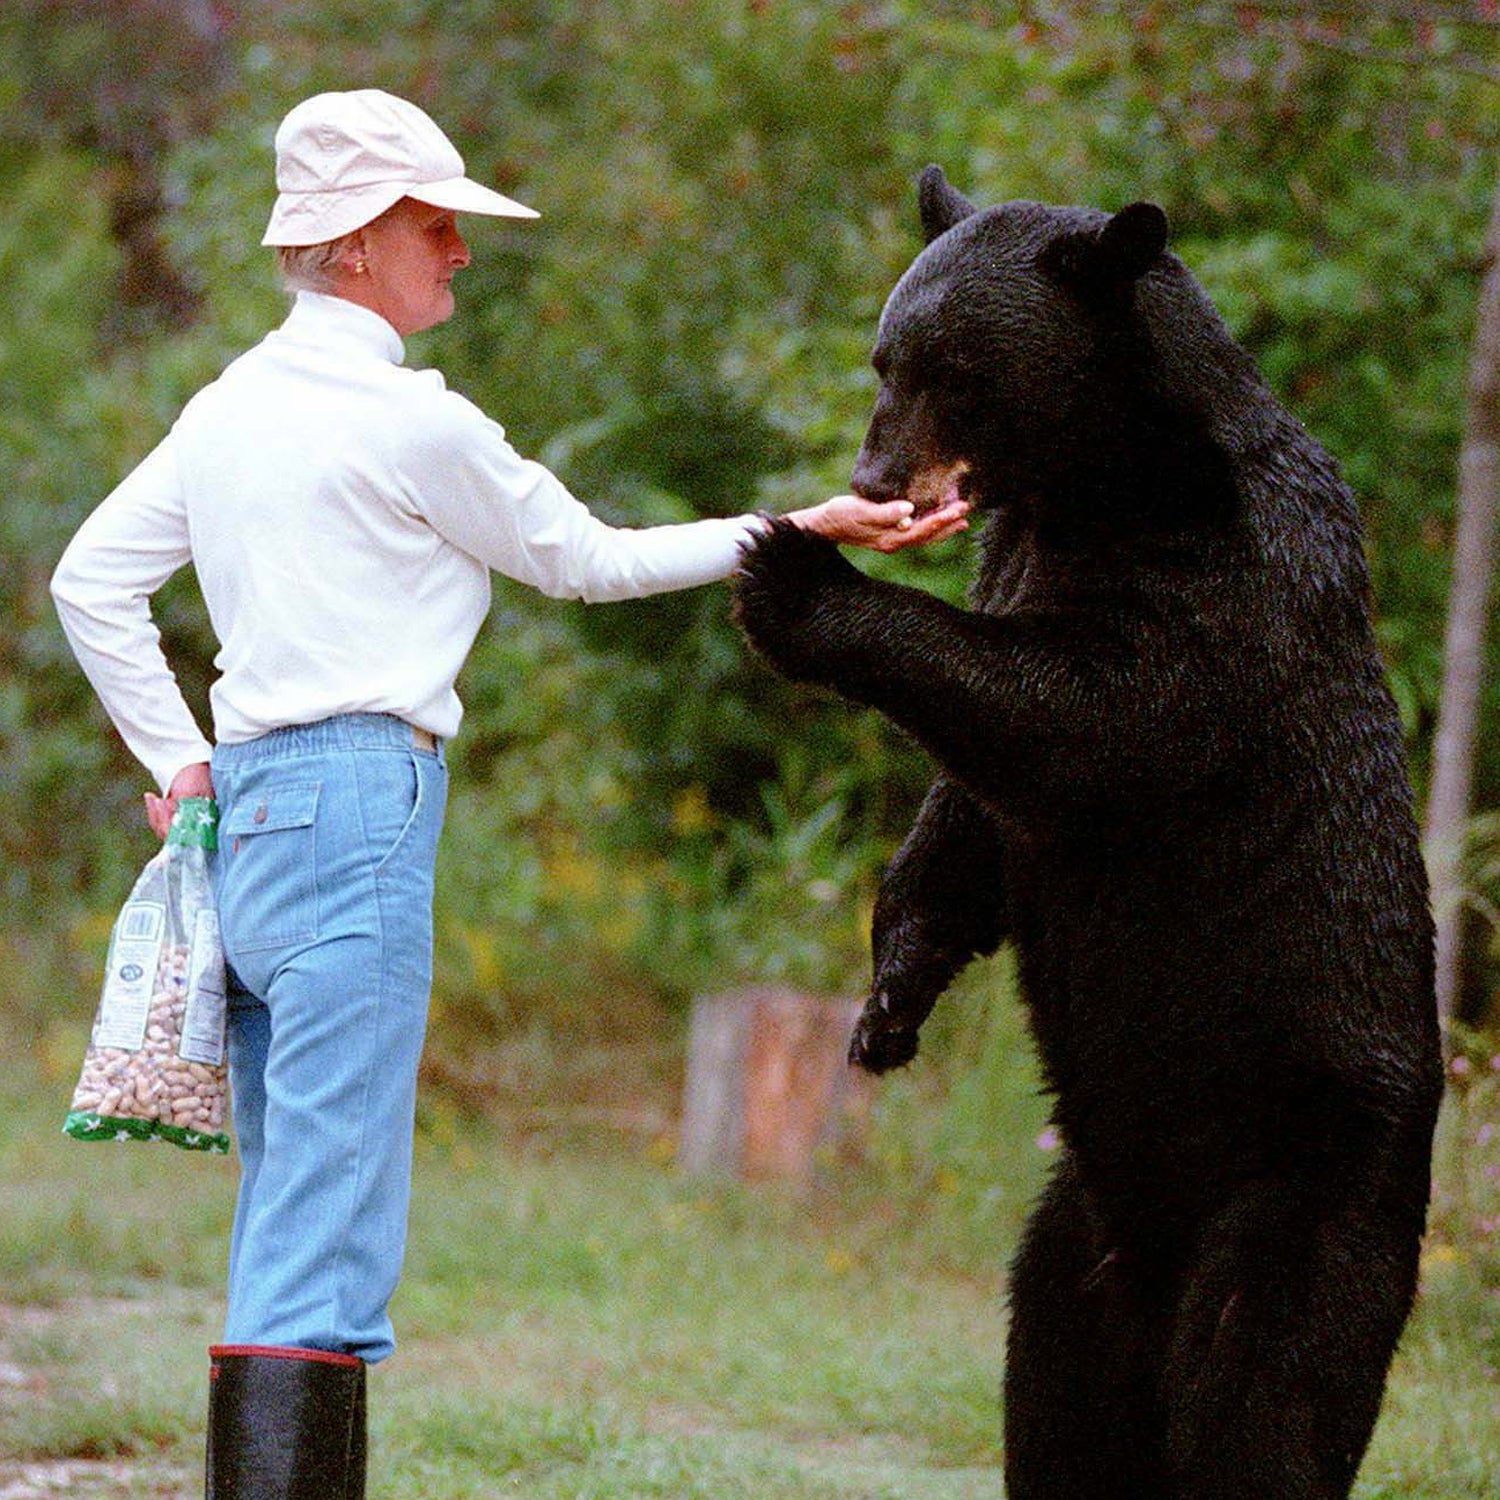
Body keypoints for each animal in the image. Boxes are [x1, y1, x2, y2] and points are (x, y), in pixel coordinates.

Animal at [731, 167, 1444, 1500]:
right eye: (885, 358)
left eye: (957, 372)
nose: (878, 478)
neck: (1106, 481)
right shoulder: (1021, 549)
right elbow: (975, 810)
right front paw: (891, 995)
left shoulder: (1221, 582)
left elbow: (1075, 714)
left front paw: (794, 576)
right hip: (1070, 1240)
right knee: (1059, 1407)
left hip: (1309, 1191)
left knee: (1265, 1400)